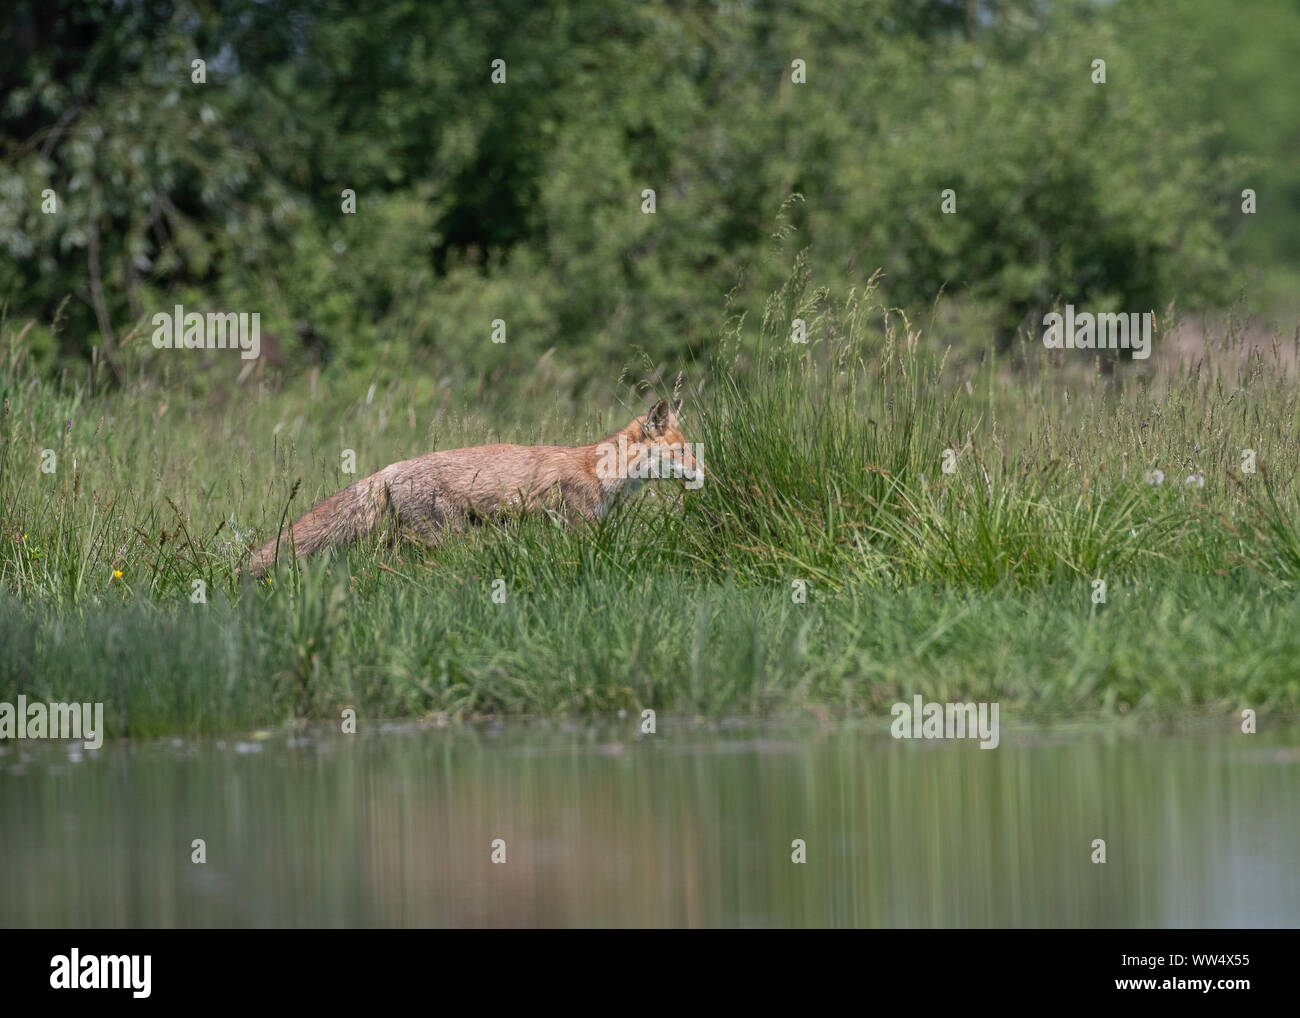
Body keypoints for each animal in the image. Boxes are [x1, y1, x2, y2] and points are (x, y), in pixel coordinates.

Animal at [246, 395, 707, 572]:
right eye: (682, 451)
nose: (705, 472)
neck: (603, 471)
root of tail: (390, 468)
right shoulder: (579, 526)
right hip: (446, 538)